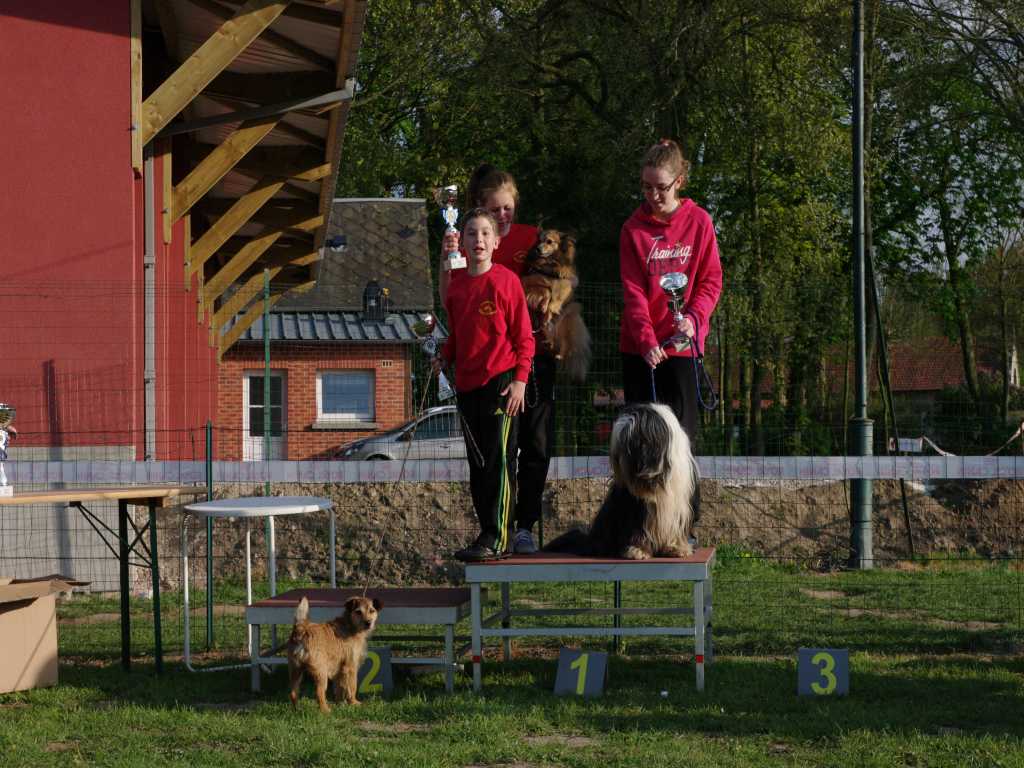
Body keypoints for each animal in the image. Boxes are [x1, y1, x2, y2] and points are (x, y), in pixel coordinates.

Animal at [520, 230, 593, 382]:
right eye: (539, 240)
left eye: (549, 241)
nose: (537, 249)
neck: (549, 264)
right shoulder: (531, 279)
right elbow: (541, 290)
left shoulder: (564, 283)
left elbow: (553, 298)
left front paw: (548, 308)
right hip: (548, 331)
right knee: (552, 341)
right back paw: (549, 342)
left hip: (569, 320)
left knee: (565, 345)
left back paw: (559, 353)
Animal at [544, 403, 696, 561]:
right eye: (619, 441)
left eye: (631, 440)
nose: (617, 457)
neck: (659, 477)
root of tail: (588, 540)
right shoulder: (635, 507)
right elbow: (638, 528)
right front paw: (637, 550)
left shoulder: (679, 505)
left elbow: (676, 528)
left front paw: (676, 548)